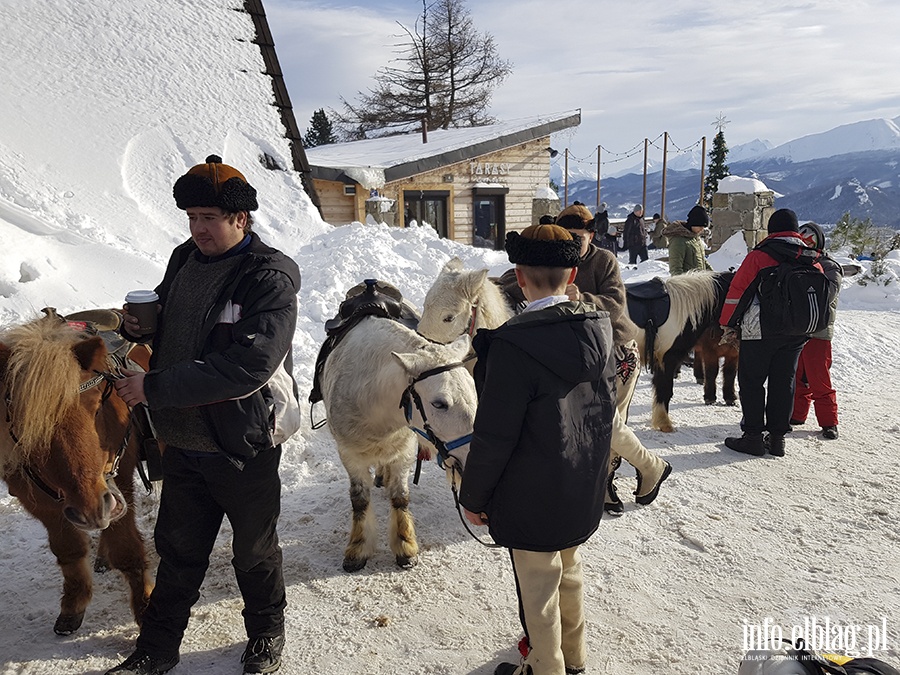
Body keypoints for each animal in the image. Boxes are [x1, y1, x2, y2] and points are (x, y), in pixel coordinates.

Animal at [0, 308, 153, 636]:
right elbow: (68, 551)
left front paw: (146, 610)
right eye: (29, 425)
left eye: (97, 406)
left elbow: (128, 551)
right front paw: (74, 604)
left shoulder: (118, 482)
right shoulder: (41, 502)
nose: (91, 509)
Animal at [310, 278, 478, 572]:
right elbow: (359, 499)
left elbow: (400, 497)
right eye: (439, 404)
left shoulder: (404, 450)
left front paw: (404, 545)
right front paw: (357, 549)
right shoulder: (349, 455)